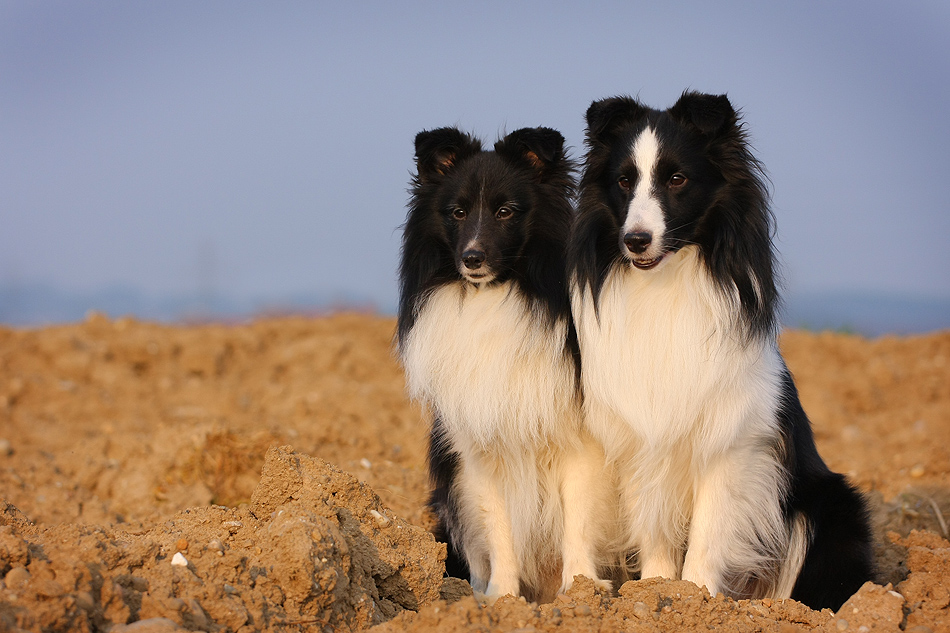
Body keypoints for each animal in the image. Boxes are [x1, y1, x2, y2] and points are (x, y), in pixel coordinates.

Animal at [398, 126, 612, 600]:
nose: (472, 259)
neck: (497, 296)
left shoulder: (579, 442)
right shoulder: (478, 450)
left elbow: (577, 519)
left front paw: (581, 590)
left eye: (505, 211)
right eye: (458, 212)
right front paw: (502, 598)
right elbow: (497, 524)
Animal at [568, 92, 872, 608]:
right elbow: (653, 529)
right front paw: (656, 592)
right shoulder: (642, 441)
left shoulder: (731, 445)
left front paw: (697, 598)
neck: (666, 287)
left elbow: (708, 535)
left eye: (677, 179)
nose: (635, 241)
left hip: (829, 506)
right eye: (624, 181)